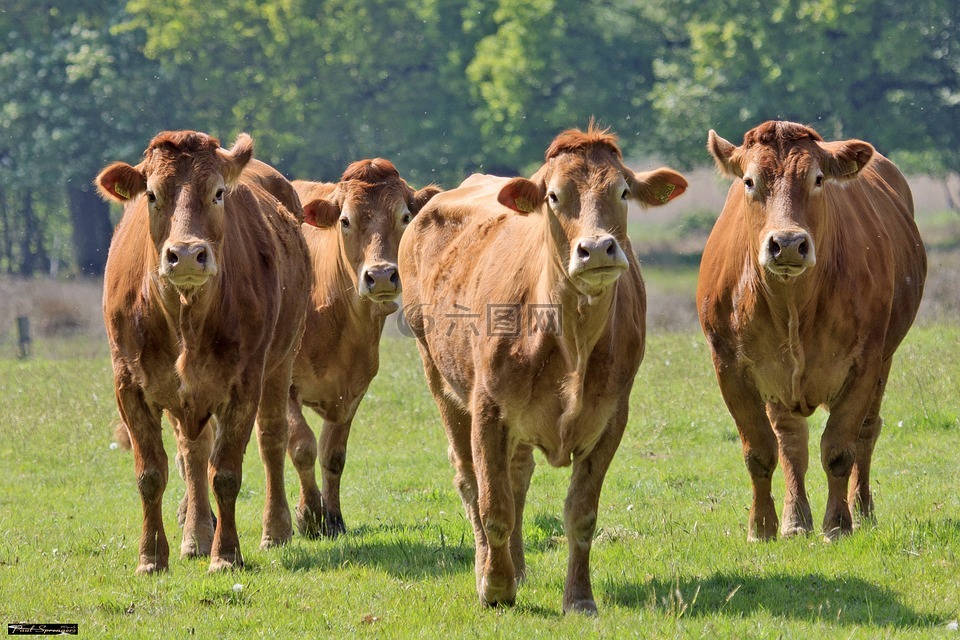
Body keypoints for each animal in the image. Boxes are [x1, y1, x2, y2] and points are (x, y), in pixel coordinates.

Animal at [96, 127, 312, 572]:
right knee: (192, 453)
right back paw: (195, 537)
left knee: (272, 438)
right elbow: (151, 474)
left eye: (217, 193)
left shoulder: (244, 385)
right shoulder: (129, 385)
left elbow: (225, 473)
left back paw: (275, 529)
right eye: (151, 194)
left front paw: (226, 554)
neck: (184, 315)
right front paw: (151, 557)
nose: (186, 255)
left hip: (281, 360)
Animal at [282, 159, 438, 536]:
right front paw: (309, 515)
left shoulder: (352, 390)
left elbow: (333, 454)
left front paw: (334, 518)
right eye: (345, 220)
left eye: (405, 216)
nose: (380, 276)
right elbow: (302, 445)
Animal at [400, 125, 688, 616]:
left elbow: (580, 514)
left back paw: (518, 565)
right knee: (471, 481)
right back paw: (491, 566)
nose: (596, 249)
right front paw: (495, 587)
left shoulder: (611, 417)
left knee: (518, 476)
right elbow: (493, 507)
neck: (570, 337)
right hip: (438, 376)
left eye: (623, 191)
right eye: (554, 195)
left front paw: (580, 597)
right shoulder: (488, 409)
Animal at [696, 120, 928, 540]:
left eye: (818, 179)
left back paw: (862, 511)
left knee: (867, 433)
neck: (792, 305)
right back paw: (795, 520)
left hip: (884, 361)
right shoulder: (729, 366)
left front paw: (838, 524)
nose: (788, 243)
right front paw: (762, 526)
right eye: (750, 181)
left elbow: (839, 449)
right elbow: (760, 450)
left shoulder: (864, 365)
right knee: (791, 442)